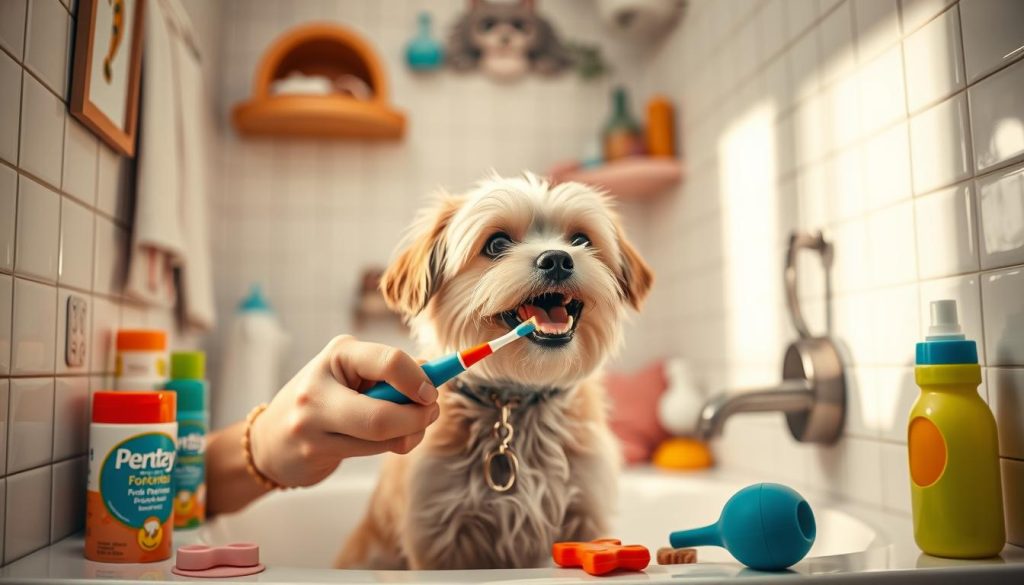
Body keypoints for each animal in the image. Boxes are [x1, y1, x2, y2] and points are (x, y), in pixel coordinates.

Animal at [339, 172, 651, 569]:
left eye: (581, 240)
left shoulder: (584, 512)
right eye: (497, 243)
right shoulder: (440, 534)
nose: (557, 259)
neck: (514, 400)